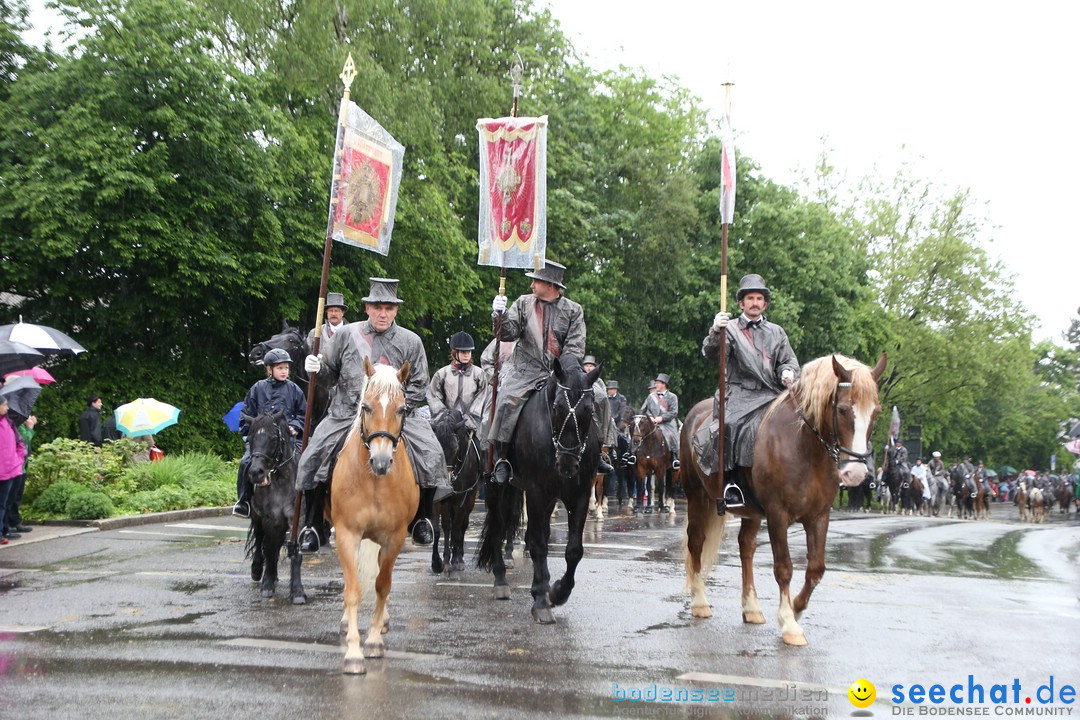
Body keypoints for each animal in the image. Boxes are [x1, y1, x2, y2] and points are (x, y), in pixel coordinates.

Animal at [238, 410, 302, 604]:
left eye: (273, 438)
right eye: (250, 437)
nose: (255, 472)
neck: (281, 481)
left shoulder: (296, 518)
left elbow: (295, 551)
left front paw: (297, 591)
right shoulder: (269, 519)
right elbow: (268, 548)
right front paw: (267, 584)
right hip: (257, 517)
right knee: (260, 540)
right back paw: (258, 570)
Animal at [328, 360, 416, 677]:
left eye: (402, 409)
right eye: (365, 407)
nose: (380, 461)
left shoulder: (394, 538)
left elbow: (382, 585)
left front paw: (375, 640)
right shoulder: (346, 534)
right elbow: (352, 590)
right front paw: (354, 653)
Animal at [429, 408, 481, 582]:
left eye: (455, 448)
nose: (445, 481)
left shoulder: (460, 500)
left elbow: (457, 530)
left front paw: (455, 562)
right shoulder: (440, 501)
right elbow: (441, 529)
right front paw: (439, 563)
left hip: (470, 499)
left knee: (462, 526)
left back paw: (459, 558)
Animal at [477, 354, 604, 626]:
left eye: (589, 410)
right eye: (556, 407)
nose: (567, 463)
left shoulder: (579, 495)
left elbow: (573, 550)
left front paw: (557, 592)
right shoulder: (536, 492)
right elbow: (537, 545)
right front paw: (541, 601)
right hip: (495, 486)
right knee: (497, 527)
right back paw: (501, 580)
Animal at [682, 354, 885, 647]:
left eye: (876, 412)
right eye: (843, 409)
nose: (856, 473)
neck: (805, 448)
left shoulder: (818, 517)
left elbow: (816, 569)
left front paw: (797, 608)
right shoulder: (778, 515)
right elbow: (784, 568)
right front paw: (789, 623)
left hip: (750, 511)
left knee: (746, 547)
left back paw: (751, 608)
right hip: (697, 496)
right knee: (696, 541)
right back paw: (699, 602)